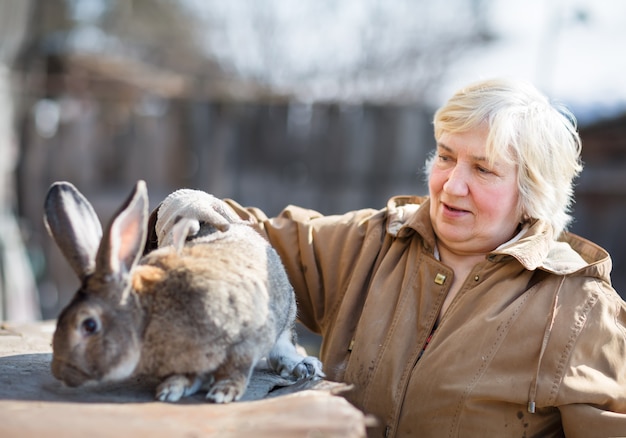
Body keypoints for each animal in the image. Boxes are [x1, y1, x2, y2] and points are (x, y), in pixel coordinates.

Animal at [44, 181, 322, 404]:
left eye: (89, 325)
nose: (59, 371)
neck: (148, 317)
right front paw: (171, 389)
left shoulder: (248, 339)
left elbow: (237, 369)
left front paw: (224, 392)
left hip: (285, 318)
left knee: (283, 348)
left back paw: (303, 366)